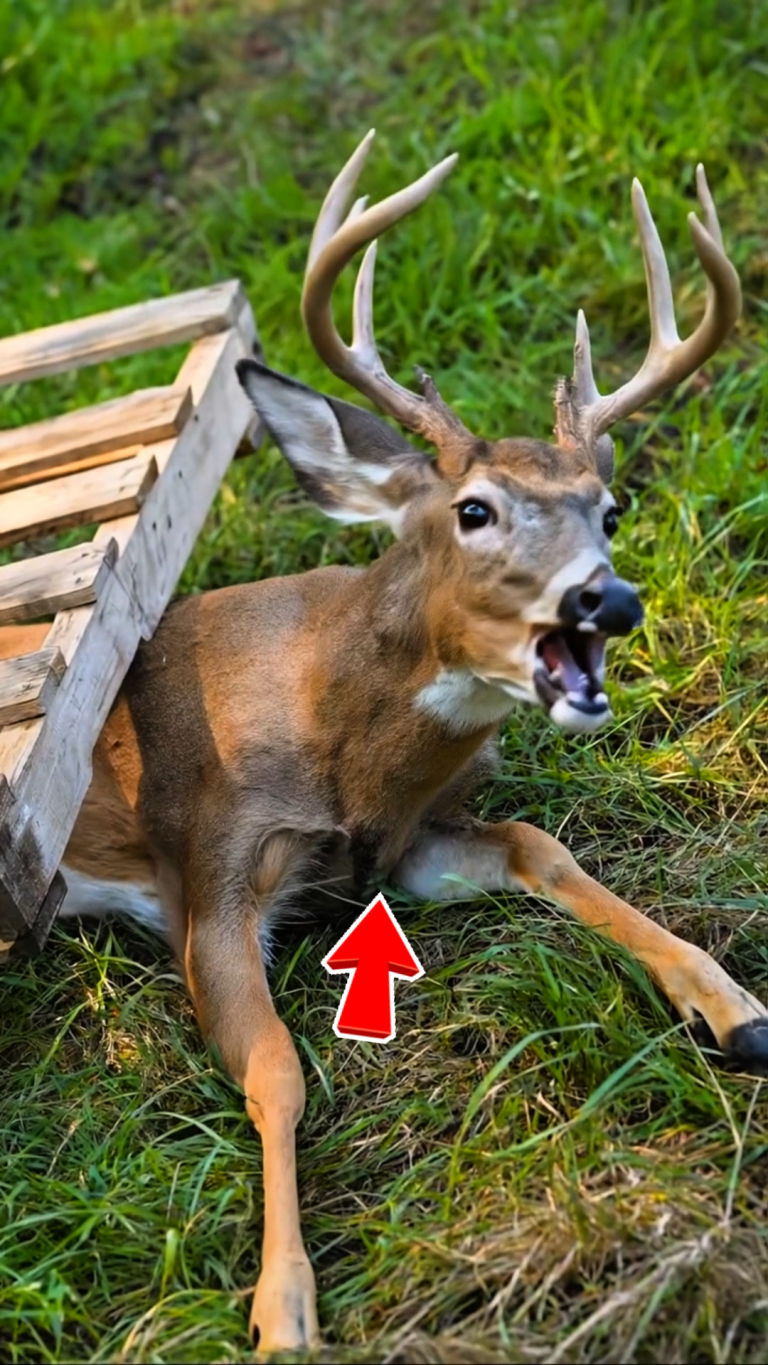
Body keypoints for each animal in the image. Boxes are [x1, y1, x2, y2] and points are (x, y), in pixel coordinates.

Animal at [5, 131, 766, 1353]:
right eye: (474, 509)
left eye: (607, 509)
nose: (608, 599)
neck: (340, 746)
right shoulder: (210, 871)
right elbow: (276, 1070)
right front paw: (284, 1308)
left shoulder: (402, 847)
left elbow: (537, 844)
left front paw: (731, 1004)